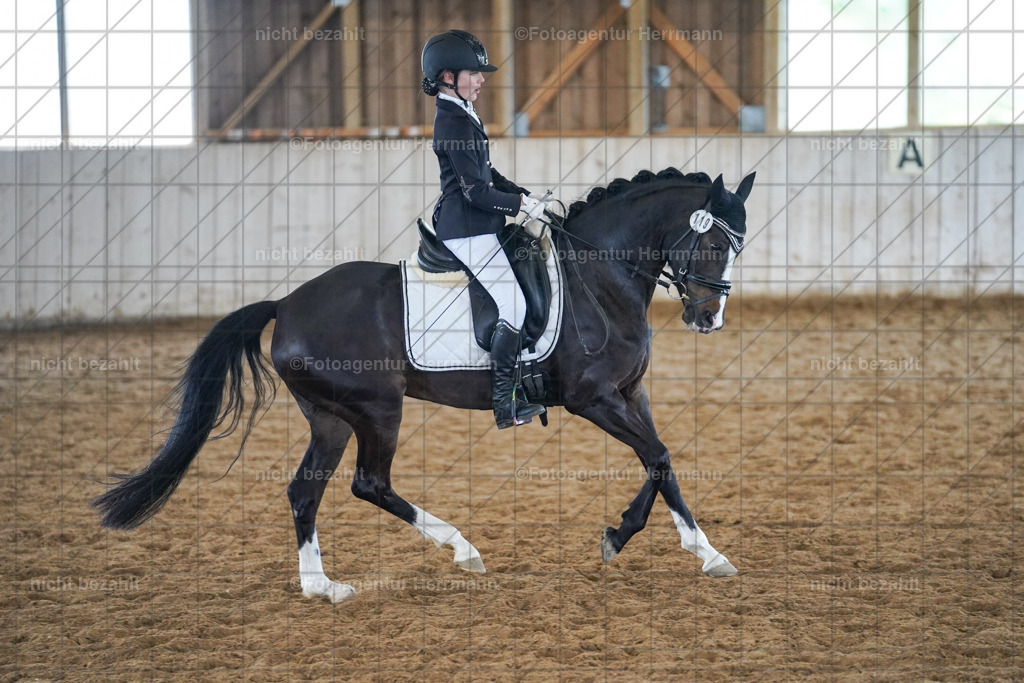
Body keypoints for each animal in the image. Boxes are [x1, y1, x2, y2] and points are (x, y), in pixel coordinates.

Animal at [93, 167, 756, 603]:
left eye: (738, 246)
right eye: (713, 241)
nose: (708, 319)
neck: (600, 274)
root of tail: (286, 304)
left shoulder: (630, 394)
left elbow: (659, 461)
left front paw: (656, 542)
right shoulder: (591, 399)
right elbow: (658, 455)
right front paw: (686, 548)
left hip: (330, 418)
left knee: (304, 492)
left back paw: (322, 586)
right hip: (377, 410)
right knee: (368, 483)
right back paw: (461, 549)